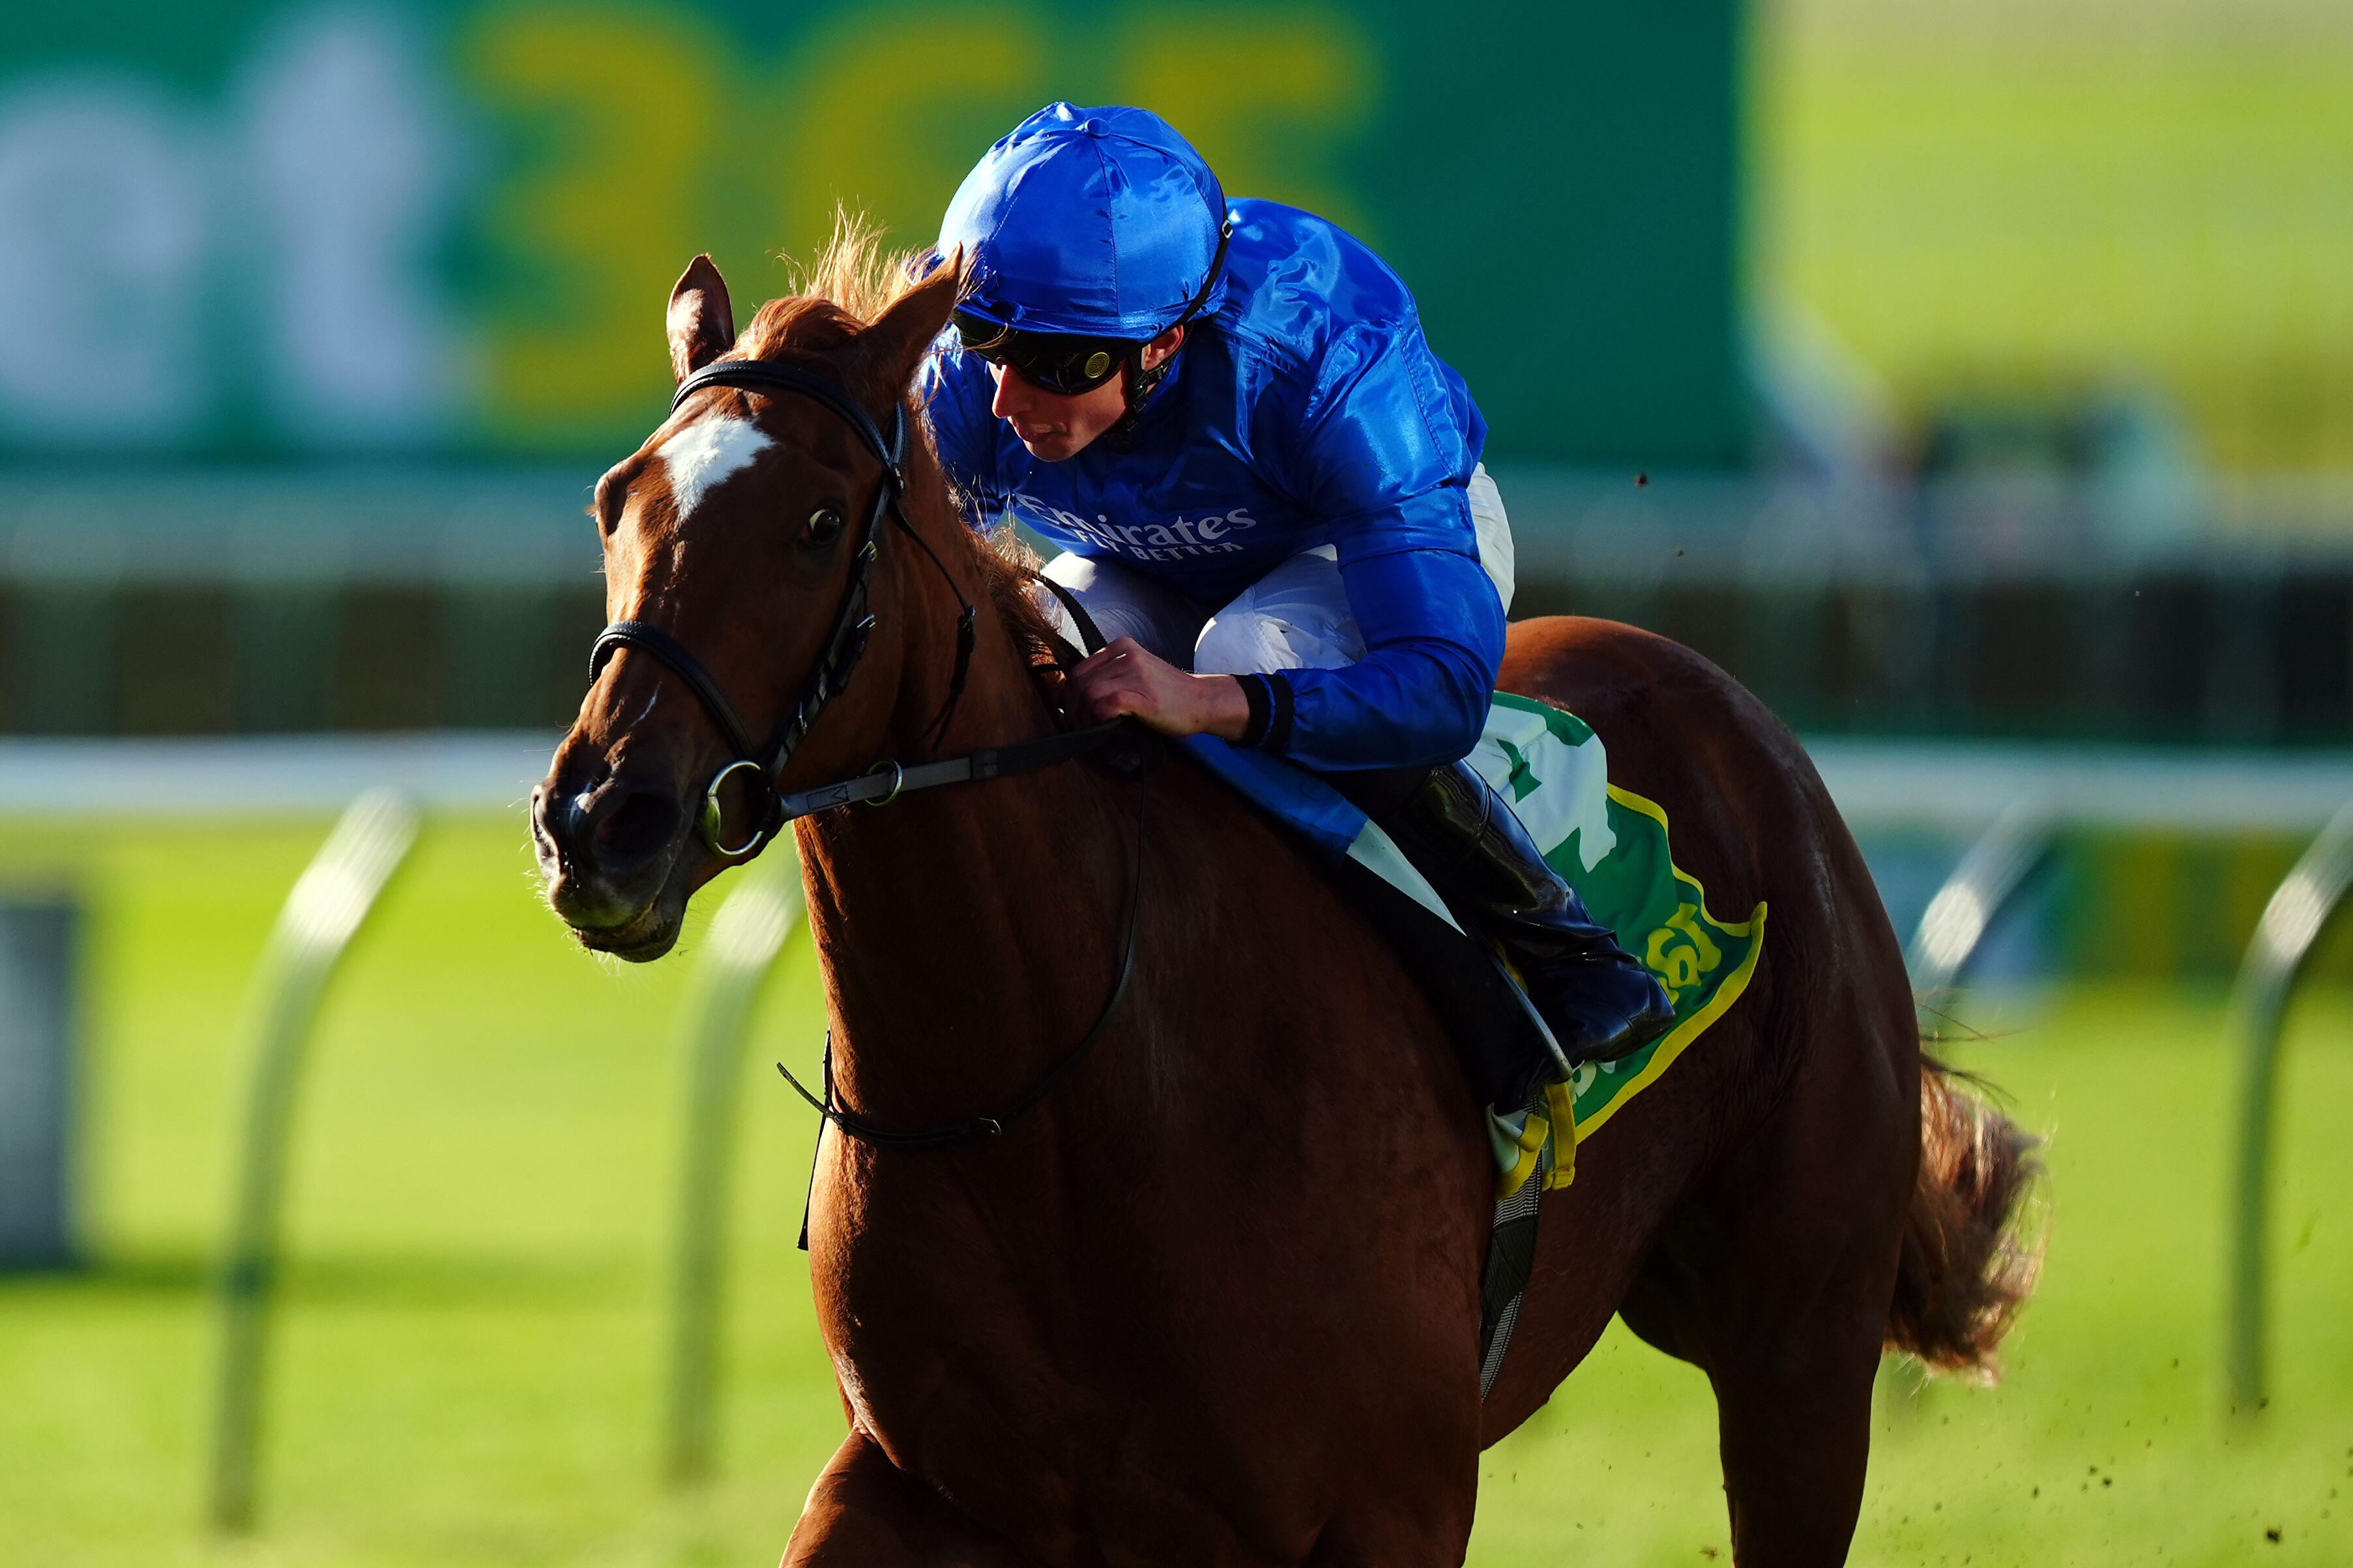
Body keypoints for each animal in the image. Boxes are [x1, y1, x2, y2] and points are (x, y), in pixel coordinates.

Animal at [534, 235, 2042, 1563]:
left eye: (814, 521)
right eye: (616, 500)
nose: (598, 821)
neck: (1061, 1092)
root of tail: (1735, 710)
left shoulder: (1392, 1508)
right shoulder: (921, 1488)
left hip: (1798, 1349)